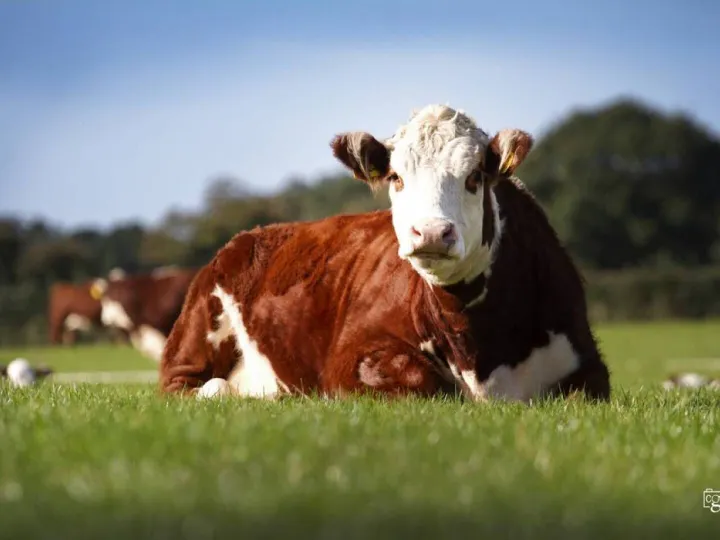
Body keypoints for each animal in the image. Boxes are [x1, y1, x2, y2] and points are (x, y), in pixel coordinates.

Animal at [159, 104, 611, 403]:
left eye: (475, 177)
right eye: (396, 176)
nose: (431, 232)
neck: (480, 350)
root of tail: (249, 236)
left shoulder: (590, 370)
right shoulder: (350, 357)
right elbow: (418, 379)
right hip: (194, 340)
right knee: (200, 387)